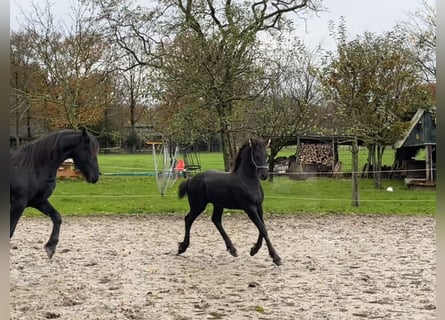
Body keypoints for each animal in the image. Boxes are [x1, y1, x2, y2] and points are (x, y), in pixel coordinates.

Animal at [9, 127, 100, 258]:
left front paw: (51, 246)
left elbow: (57, 217)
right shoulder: (18, 203)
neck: (32, 168)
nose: (96, 177)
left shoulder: (39, 201)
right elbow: (10, 231)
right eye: (89, 151)